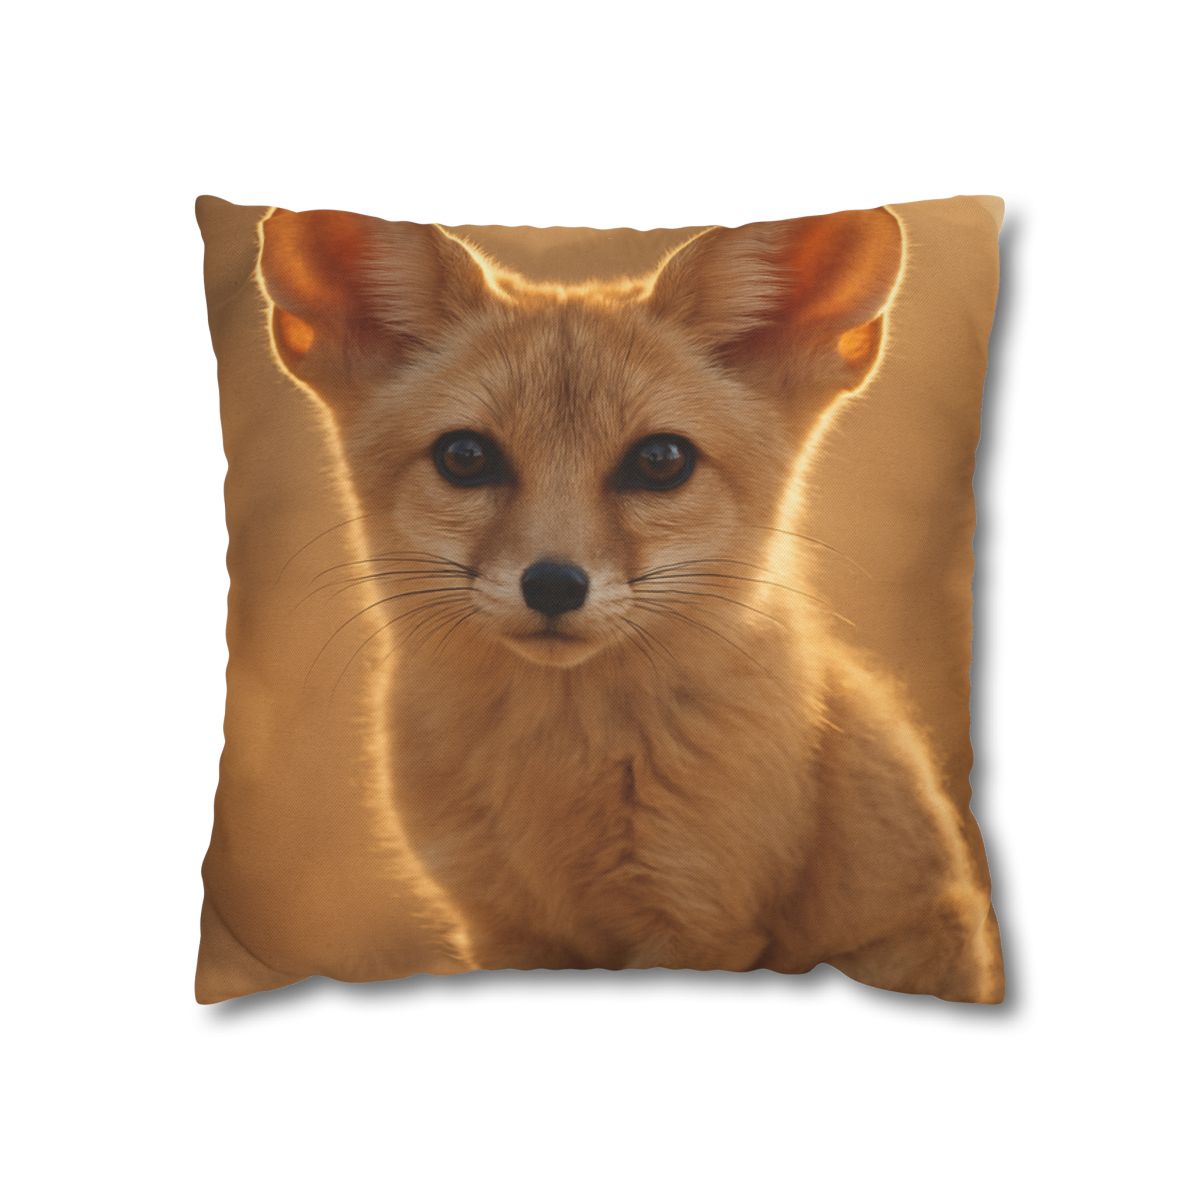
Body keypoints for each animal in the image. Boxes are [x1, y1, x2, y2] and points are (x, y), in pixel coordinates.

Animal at [257, 204, 1003, 1002]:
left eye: (660, 461)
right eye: (465, 456)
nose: (554, 584)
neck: (558, 774)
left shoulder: (699, 918)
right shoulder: (500, 925)